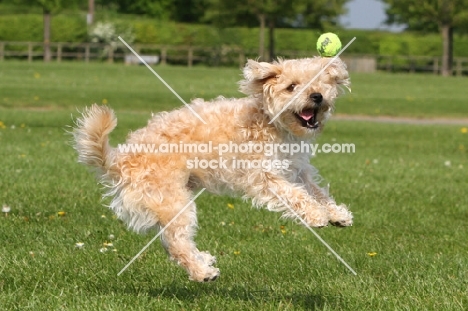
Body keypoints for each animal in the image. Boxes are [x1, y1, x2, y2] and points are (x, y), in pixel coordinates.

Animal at [72, 56, 352, 282]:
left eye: (321, 83)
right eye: (291, 86)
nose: (317, 96)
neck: (270, 122)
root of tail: (120, 160)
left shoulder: (296, 170)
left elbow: (316, 192)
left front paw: (337, 214)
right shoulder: (262, 176)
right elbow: (295, 196)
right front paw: (316, 216)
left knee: (171, 242)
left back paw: (204, 261)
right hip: (174, 202)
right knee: (177, 245)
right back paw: (202, 272)